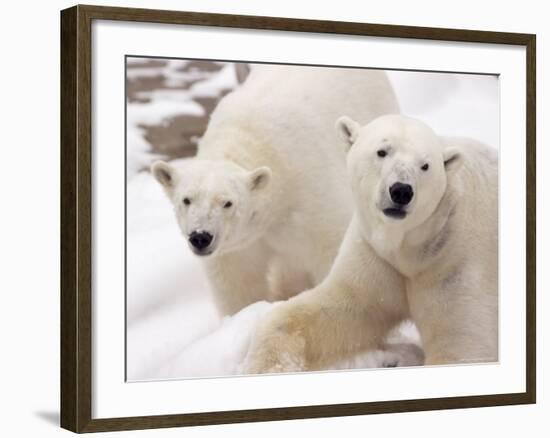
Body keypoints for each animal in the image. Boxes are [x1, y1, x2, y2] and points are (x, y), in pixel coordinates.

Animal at [151, 64, 402, 314]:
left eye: (227, 203)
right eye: (186, 200)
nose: (200, 237)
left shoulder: (310, 194)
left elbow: (330, 250)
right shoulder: (237, 246)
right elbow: (237, 281)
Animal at [246, 114, 500, 372]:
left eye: (426, 165)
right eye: (382, 151)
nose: (401, 191)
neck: (411, 246)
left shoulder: (454, 263)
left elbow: (461, 343)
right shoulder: (376, 255)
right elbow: (342, 308)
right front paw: (267, 365)